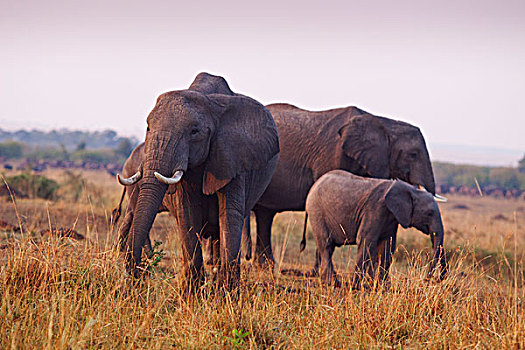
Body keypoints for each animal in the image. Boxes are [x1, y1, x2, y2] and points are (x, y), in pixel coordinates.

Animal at [117, 72, 280, 288]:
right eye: (148, 127)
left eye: (194, 132)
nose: (135, 277)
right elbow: (187, 211)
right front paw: (191, 293)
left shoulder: (233, 157)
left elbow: (229, 213)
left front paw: (226, 294)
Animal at [248, 103, 436, 266]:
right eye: (413, 155)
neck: (383, 123)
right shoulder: (333, 153)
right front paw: (317, 271)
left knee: (264, 214)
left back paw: (265, 265)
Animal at [302, 170, 446, 288]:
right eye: (429, 213)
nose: (433, 279)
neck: (409, 189)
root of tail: (314, 185)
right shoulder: (374, 209)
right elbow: (366, 241)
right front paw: (356, 286)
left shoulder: (391, 217)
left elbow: (387, 246)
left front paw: (382, 286)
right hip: (316, 211)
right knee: (326, 244)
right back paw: (332, 283)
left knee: (328, 247)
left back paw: (327, 281)